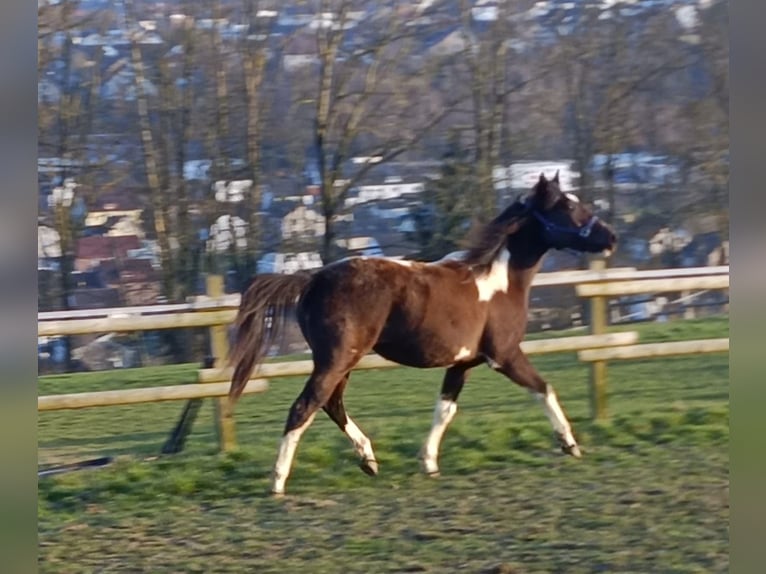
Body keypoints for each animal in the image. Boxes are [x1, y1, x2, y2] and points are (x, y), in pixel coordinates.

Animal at [227, 172, 617, 496]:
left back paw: (369, 460)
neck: (497, 280)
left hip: (342, 362)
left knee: (331, 404)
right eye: (568, 206)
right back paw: (278, 481)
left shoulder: (462, 363)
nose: (611, 237)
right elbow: (543, 388)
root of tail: (311, 279)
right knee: (304, 407)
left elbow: (445, 410)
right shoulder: (504, 355)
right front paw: (569, 444)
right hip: (337, 359)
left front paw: (428, 462)